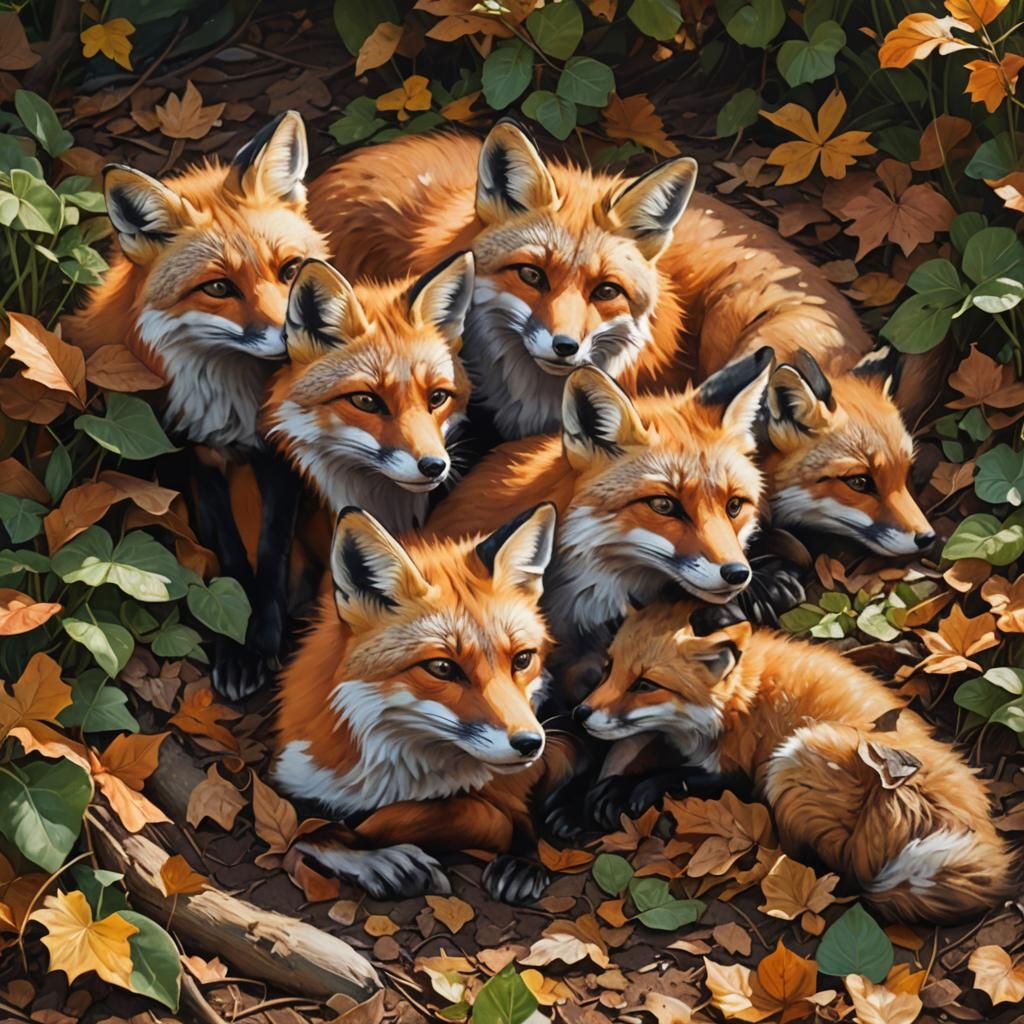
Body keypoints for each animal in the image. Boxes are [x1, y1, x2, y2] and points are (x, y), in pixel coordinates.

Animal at [65, 112, 328, 699]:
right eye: (218, 288)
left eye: (290, 270)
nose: (290, 339)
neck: (236, 405)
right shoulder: (192, 455)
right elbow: (230, 554)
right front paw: (238, 645)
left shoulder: (278, 458)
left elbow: (272, 550)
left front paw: (265, 635)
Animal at [273, 503, 579, 903]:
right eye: (442, 668)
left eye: (522, 659)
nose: (529, 743)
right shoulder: (292, 780)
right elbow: (307, 833)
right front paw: (378, 860)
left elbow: (498, 813)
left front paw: (523, 859)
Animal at [576, 600, 1013, 923]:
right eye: (608, 669)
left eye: (645, 684)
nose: (580, 713)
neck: (745, 695)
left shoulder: (743, 765)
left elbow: (680, 775)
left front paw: (627, 789)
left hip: (796, 756)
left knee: (838, 868)